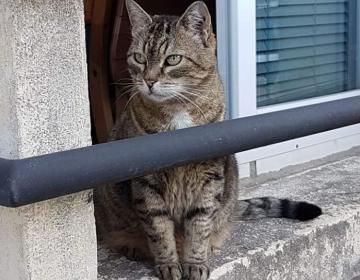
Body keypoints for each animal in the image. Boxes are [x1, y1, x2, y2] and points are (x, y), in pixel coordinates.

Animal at [94, 1, 322, 278]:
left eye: (173, 59)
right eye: (139, 58)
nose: (148, 81)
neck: (177, 112)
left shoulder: (209, 178)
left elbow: (199, 226)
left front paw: (196, 263)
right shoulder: (147, 183)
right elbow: (159, 229)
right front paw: (168, 264)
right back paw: (133, 246)